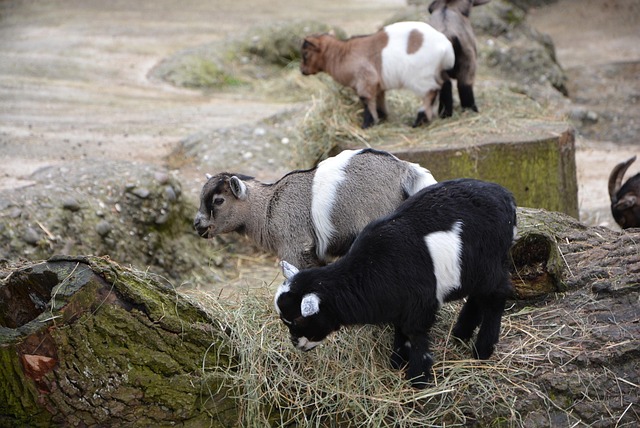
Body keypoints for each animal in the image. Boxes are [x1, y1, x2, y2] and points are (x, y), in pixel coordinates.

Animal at [275, 178, 516, 388]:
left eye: (299, 320)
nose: (296, 344)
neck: (371, 268)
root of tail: (504, 196)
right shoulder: (401, 304)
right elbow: (400, 333)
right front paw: (397, 362)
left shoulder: (420, 305)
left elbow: (416, 335)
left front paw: (417, 379)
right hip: (474, 271)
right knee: (478, 296)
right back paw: (461, 333)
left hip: (489, 263)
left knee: (497, 295)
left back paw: (483, 349)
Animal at [300, 21, 454, 128]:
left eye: (305, 54)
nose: (302, 70)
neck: (341, 54)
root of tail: (446, 47)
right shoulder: (378, 85)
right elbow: (379, 101)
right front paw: (382, 118)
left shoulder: (366, 80)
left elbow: (366, 101)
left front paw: (366, 125)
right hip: (436, 71)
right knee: (446, 83)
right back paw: (446, 113)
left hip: (420, 77)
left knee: (432, 91)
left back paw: (419, 121)